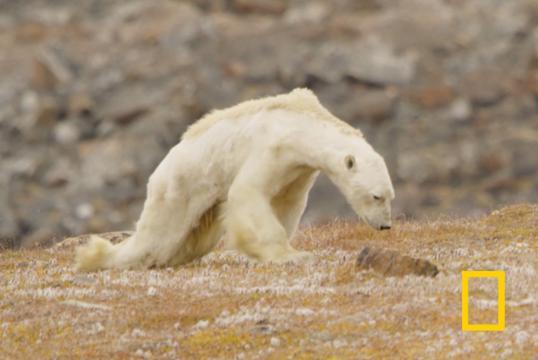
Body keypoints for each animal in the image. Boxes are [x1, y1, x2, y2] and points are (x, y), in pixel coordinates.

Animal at [74, 88, 394, 272]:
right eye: (376, 196)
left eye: (390, 196)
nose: (385, 226)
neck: (301, 123)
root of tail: (158, 171)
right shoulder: (271, 148)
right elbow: (248, 192)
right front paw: (289, 256)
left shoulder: (298, 169)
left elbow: (287, 202)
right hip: (179, 187)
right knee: (157, 238)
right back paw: (96, 258)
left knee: (192, 240)